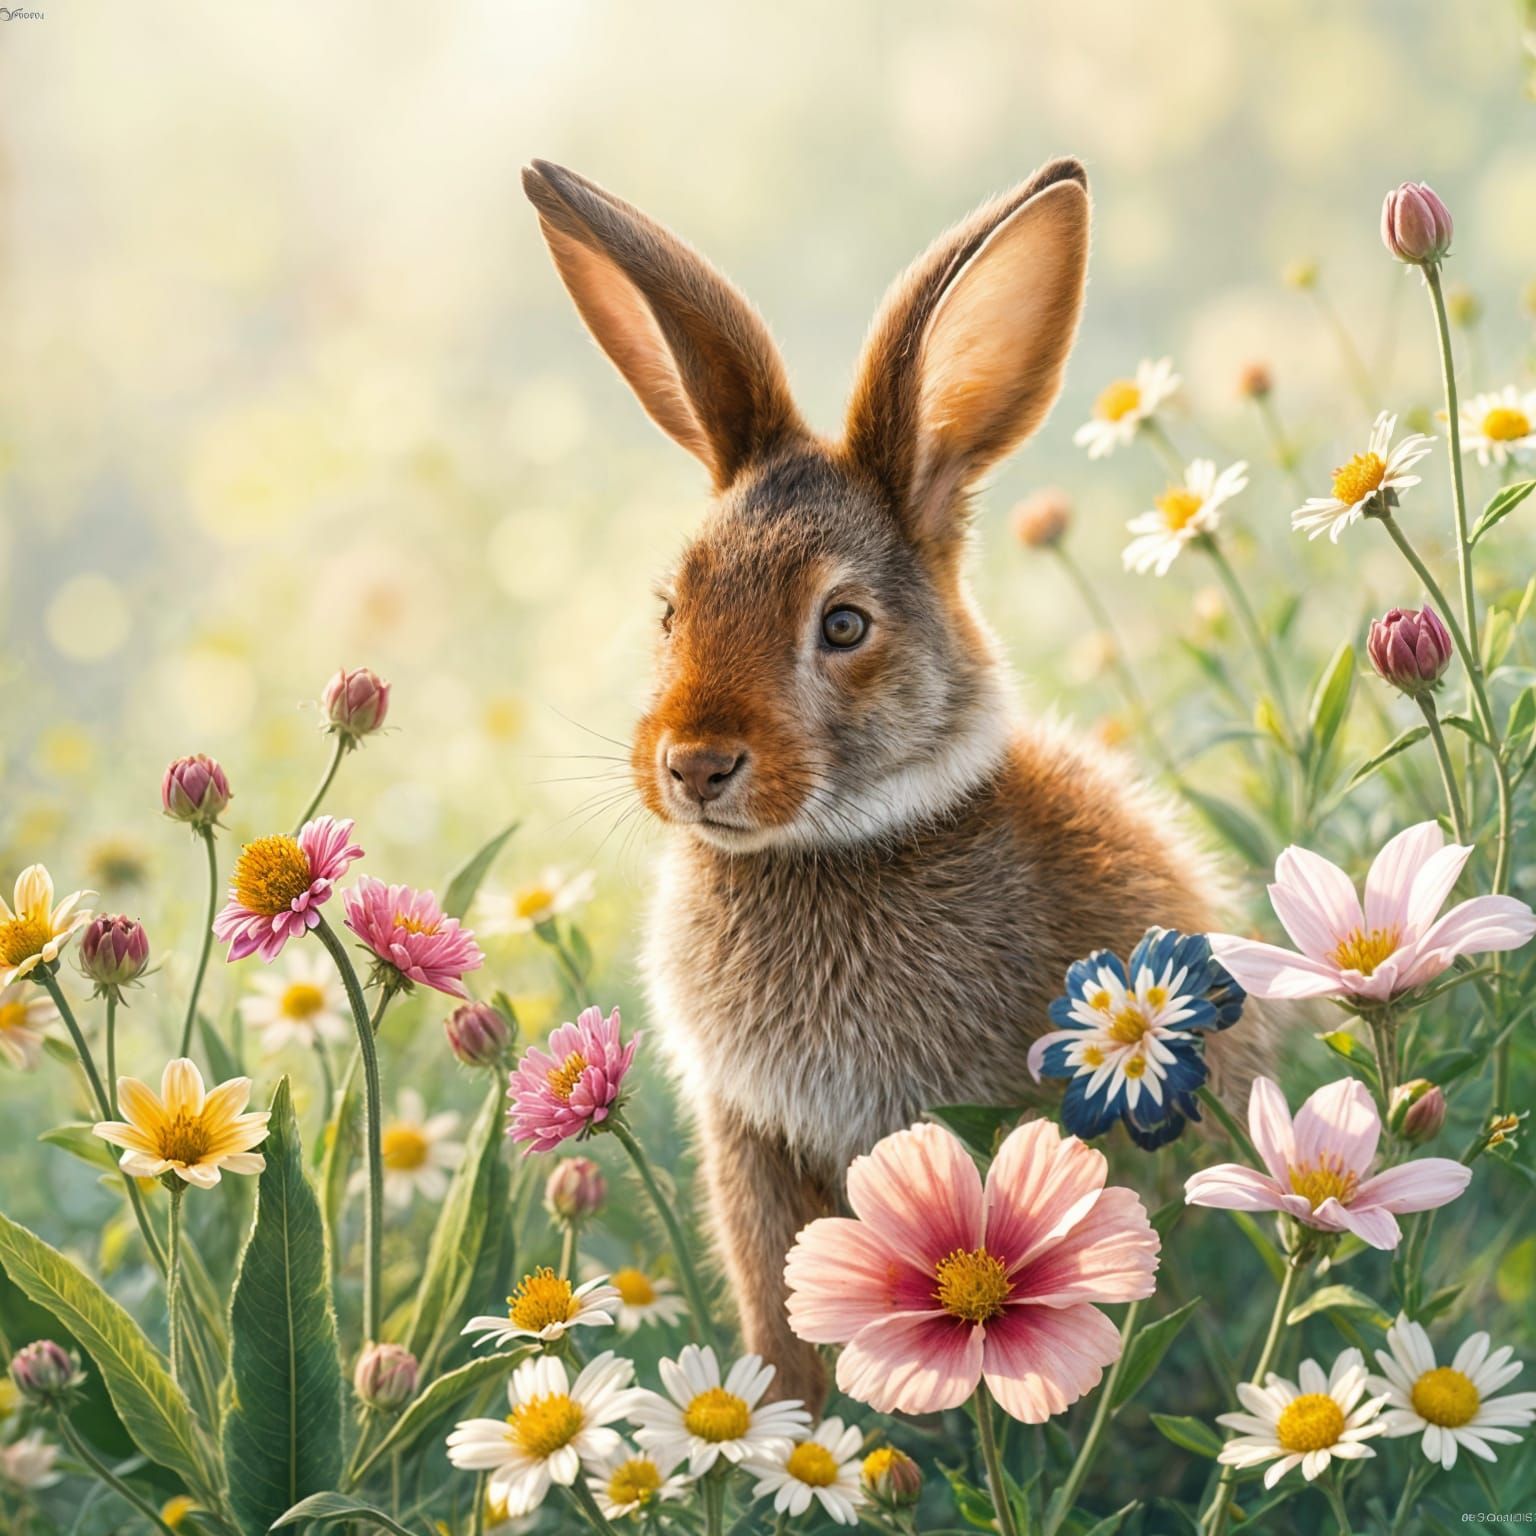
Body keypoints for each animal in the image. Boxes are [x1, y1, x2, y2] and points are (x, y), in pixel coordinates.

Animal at [522, 156, 1273, 1406]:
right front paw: (789, 1419)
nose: (696, 764)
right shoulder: (752, 1144)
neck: (836, 840)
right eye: (673, 607)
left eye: (843, 625)